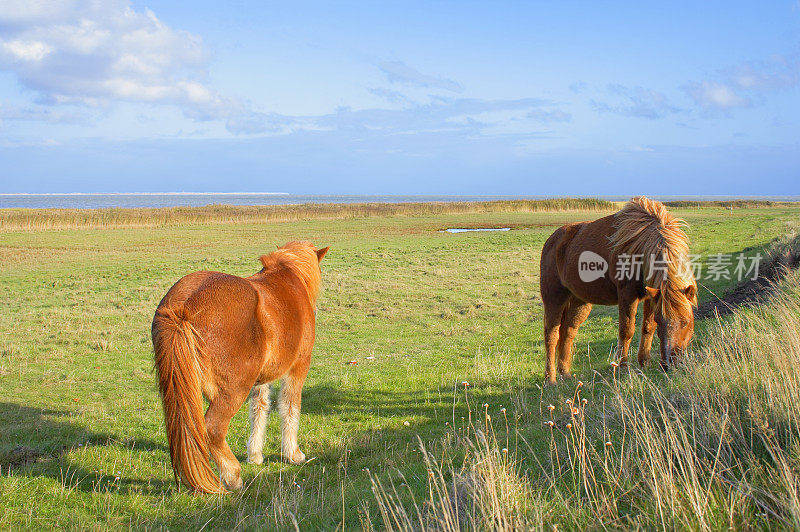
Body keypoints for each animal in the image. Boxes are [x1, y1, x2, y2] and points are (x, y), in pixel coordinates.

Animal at [153, 241, 328, 494]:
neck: (289, 277)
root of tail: (184, 305)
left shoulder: (262, 379)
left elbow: (259, 409)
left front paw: (255, 455)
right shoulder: (298, 368)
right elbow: (290, 407)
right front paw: (293, 454)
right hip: (232, 391)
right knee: (213, 430)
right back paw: (233, 476)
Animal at [540, 197, 696, 384]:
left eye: (686, 321)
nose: (668, 364)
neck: (641, 246)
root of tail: (552, 241)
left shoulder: (652, 295)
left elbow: (647, 327)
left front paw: (644, 362)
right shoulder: (627, 295)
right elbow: (626, 331)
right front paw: (622, 367)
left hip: (579, 301)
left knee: (567, 333)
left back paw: (565, 374)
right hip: (554, 299)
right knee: (552, 336)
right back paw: (550, 379)